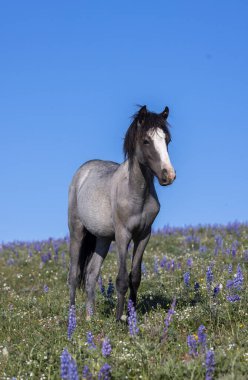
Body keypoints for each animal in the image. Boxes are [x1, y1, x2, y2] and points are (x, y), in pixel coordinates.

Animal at [68, 104, 176, 320]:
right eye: (146, 140)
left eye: (167, 140)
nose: (168, 175)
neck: (136, 193)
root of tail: (83, 171)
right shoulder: (123, 235)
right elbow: (122, 279)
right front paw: (119, 320)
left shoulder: (143, 235)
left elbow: (135, 277)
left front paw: (131, 314)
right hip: (77, 232)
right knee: (75, 275)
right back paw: (72, 317)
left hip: (102, 239)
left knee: (91, 274)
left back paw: (90, 318)